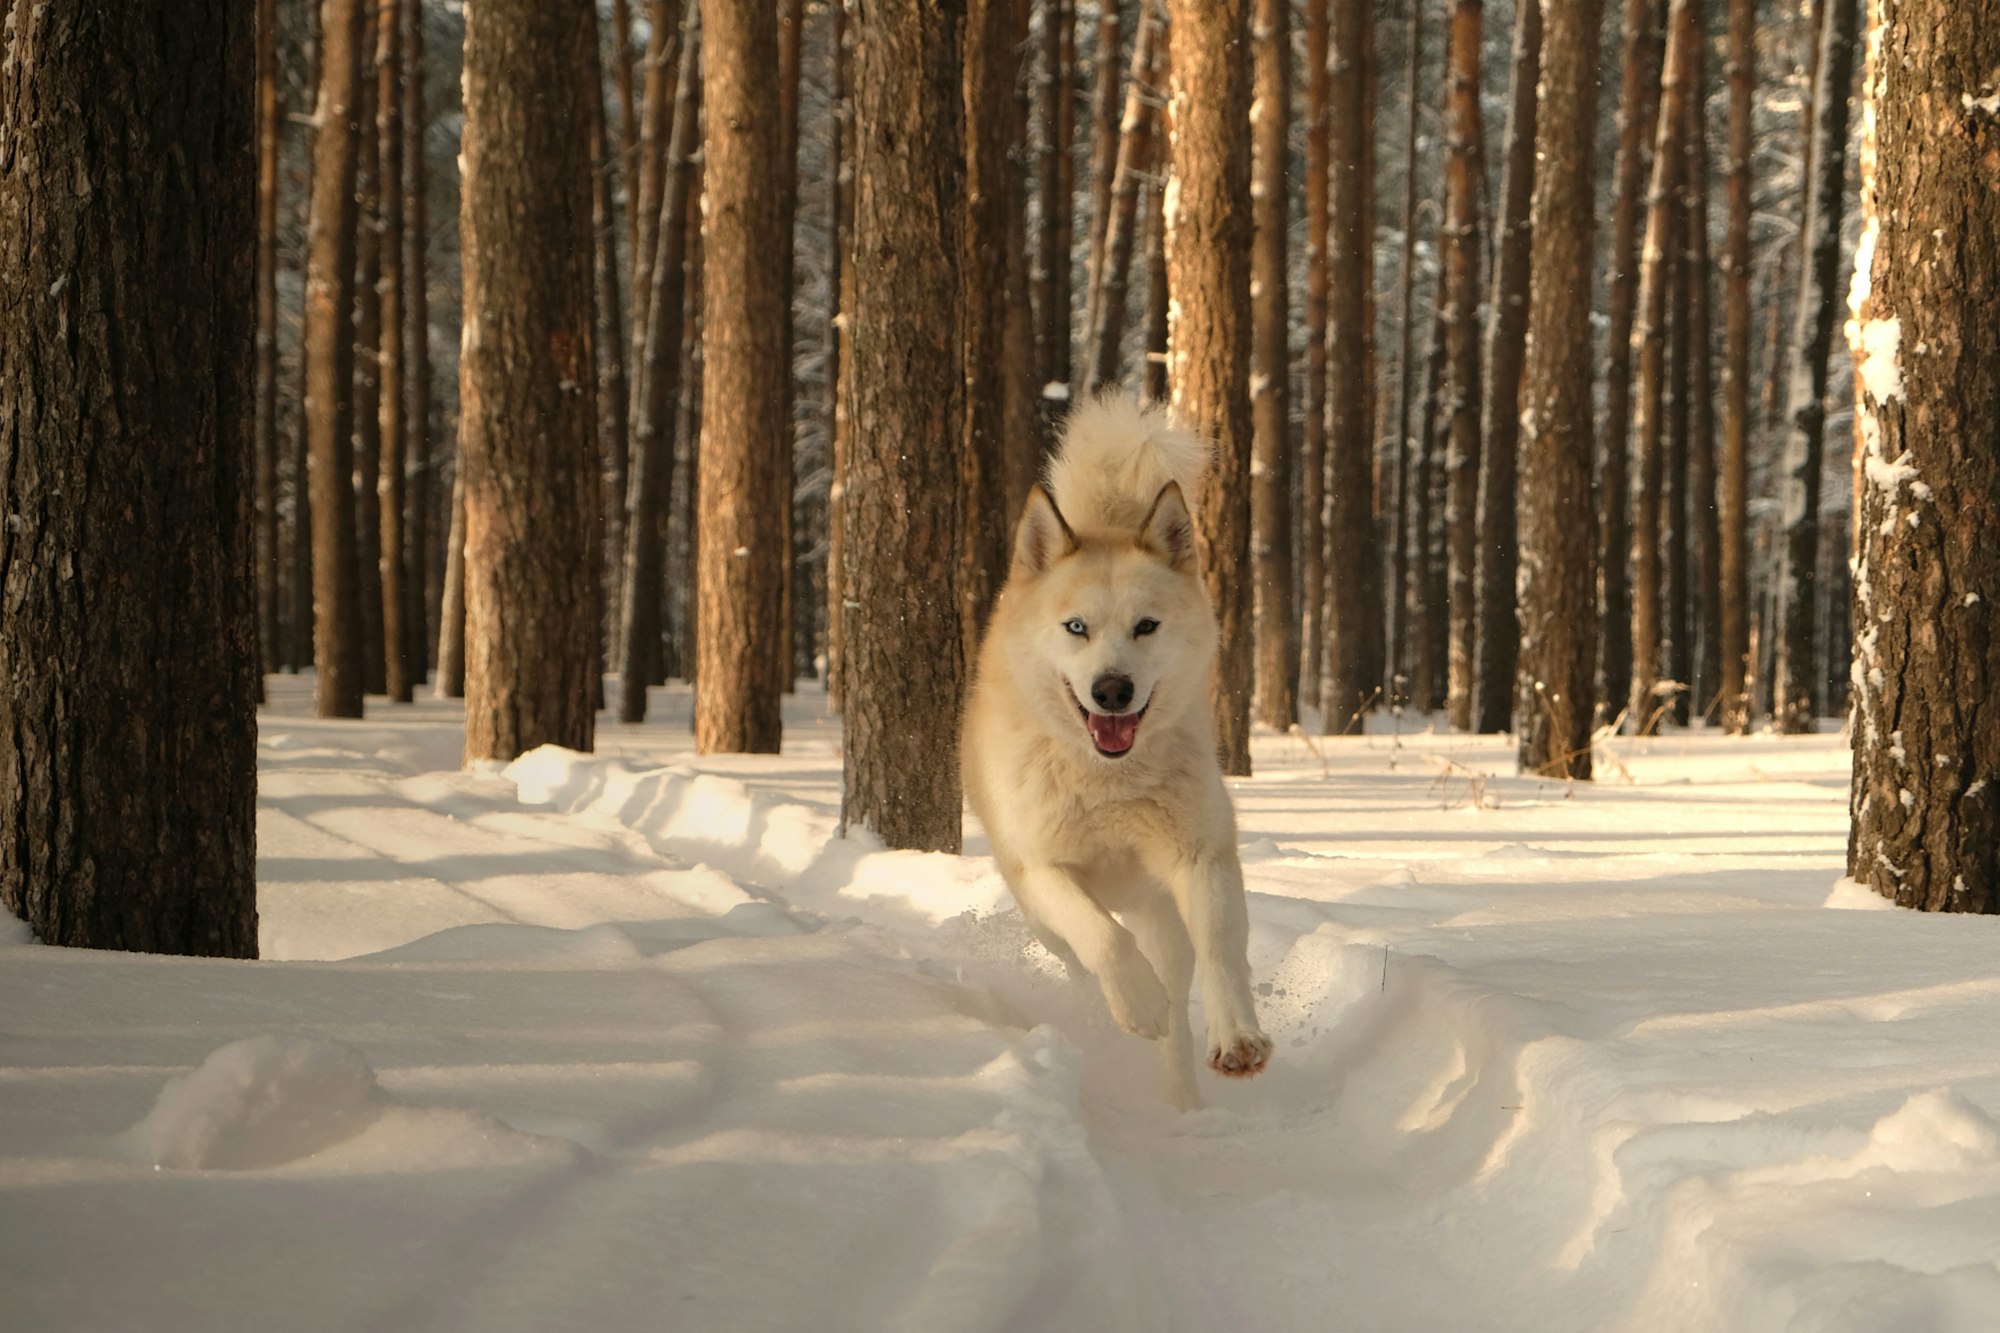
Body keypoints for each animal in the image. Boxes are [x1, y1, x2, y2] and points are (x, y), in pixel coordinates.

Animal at [964, 394, 1272, 1112]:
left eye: (1146, 626)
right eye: (1076, 627)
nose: (1112, 689)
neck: (1108, 781)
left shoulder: (1201, 854)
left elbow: (1221, 951)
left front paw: (1237, 1038)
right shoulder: (1041, 867)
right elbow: (1101, 935)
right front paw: (1135, 1002)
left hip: (1161, 909)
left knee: (1180, 981)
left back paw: (1182, 1098)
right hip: (1042, 915)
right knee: (1085, 953)